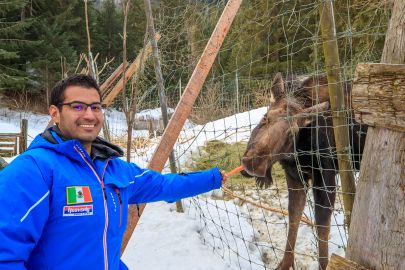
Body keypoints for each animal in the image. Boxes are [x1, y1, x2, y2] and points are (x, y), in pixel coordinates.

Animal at [241, 73, 368, 268]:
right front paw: (285, 264)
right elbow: (294, 215)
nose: (254, 164)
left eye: (291, 132)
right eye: (265, 117)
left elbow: (322, 226)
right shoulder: (294, 175)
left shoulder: (325, 175)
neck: (298, 151)